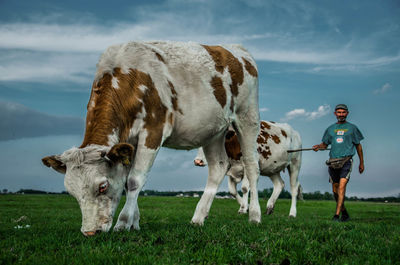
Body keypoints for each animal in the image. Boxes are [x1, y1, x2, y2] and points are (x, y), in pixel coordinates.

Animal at [42, 40, 262, 234]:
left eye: (102, 186)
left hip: (247, 117)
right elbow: (128, 180)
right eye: (71, 192)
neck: (129, 77)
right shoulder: (128, 144)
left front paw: (123, 223)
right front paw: (134, 223)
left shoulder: (153, 131)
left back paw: (254, 215)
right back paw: (198, 217)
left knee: (252, 167)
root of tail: (237, 50)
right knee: (218, 167)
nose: (89, 232)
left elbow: (134, 180)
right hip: (213, 131)